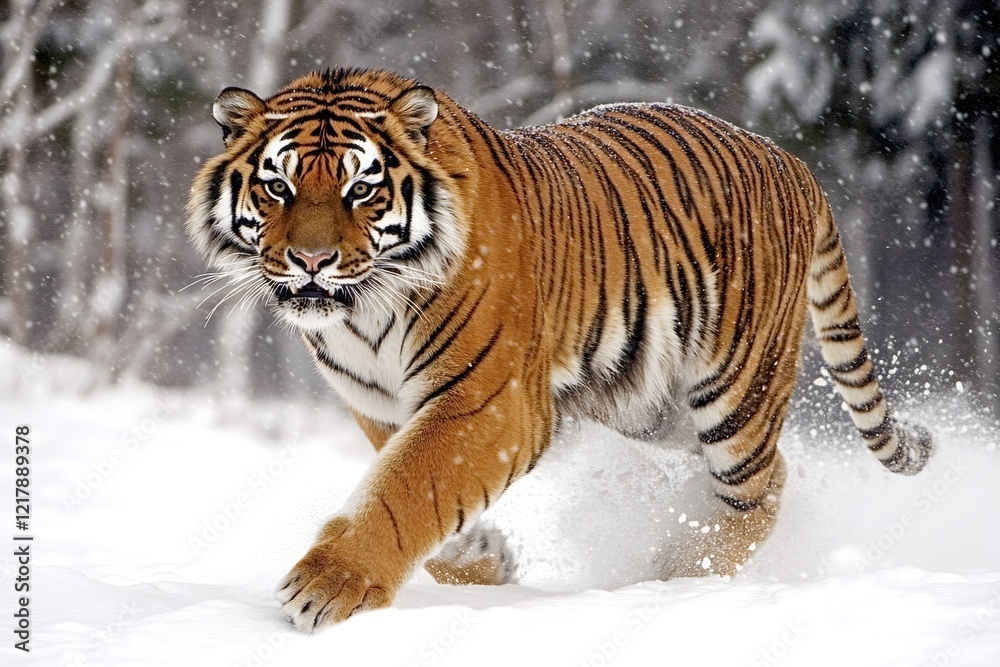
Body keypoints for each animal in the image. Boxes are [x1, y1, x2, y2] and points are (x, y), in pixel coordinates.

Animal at [186, 68, 932, 632]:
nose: (310, 260)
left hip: (734, 390)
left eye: (360, 189)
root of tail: (791, 159)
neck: (361, 315)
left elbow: (406, 487)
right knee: (771, 473)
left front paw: (327, 586)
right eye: (277, 186)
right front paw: (485, 561)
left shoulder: (493, 402)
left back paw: (679, 577)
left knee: (759, 485)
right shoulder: (379, 404)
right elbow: (405, 483)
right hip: (653, 403)